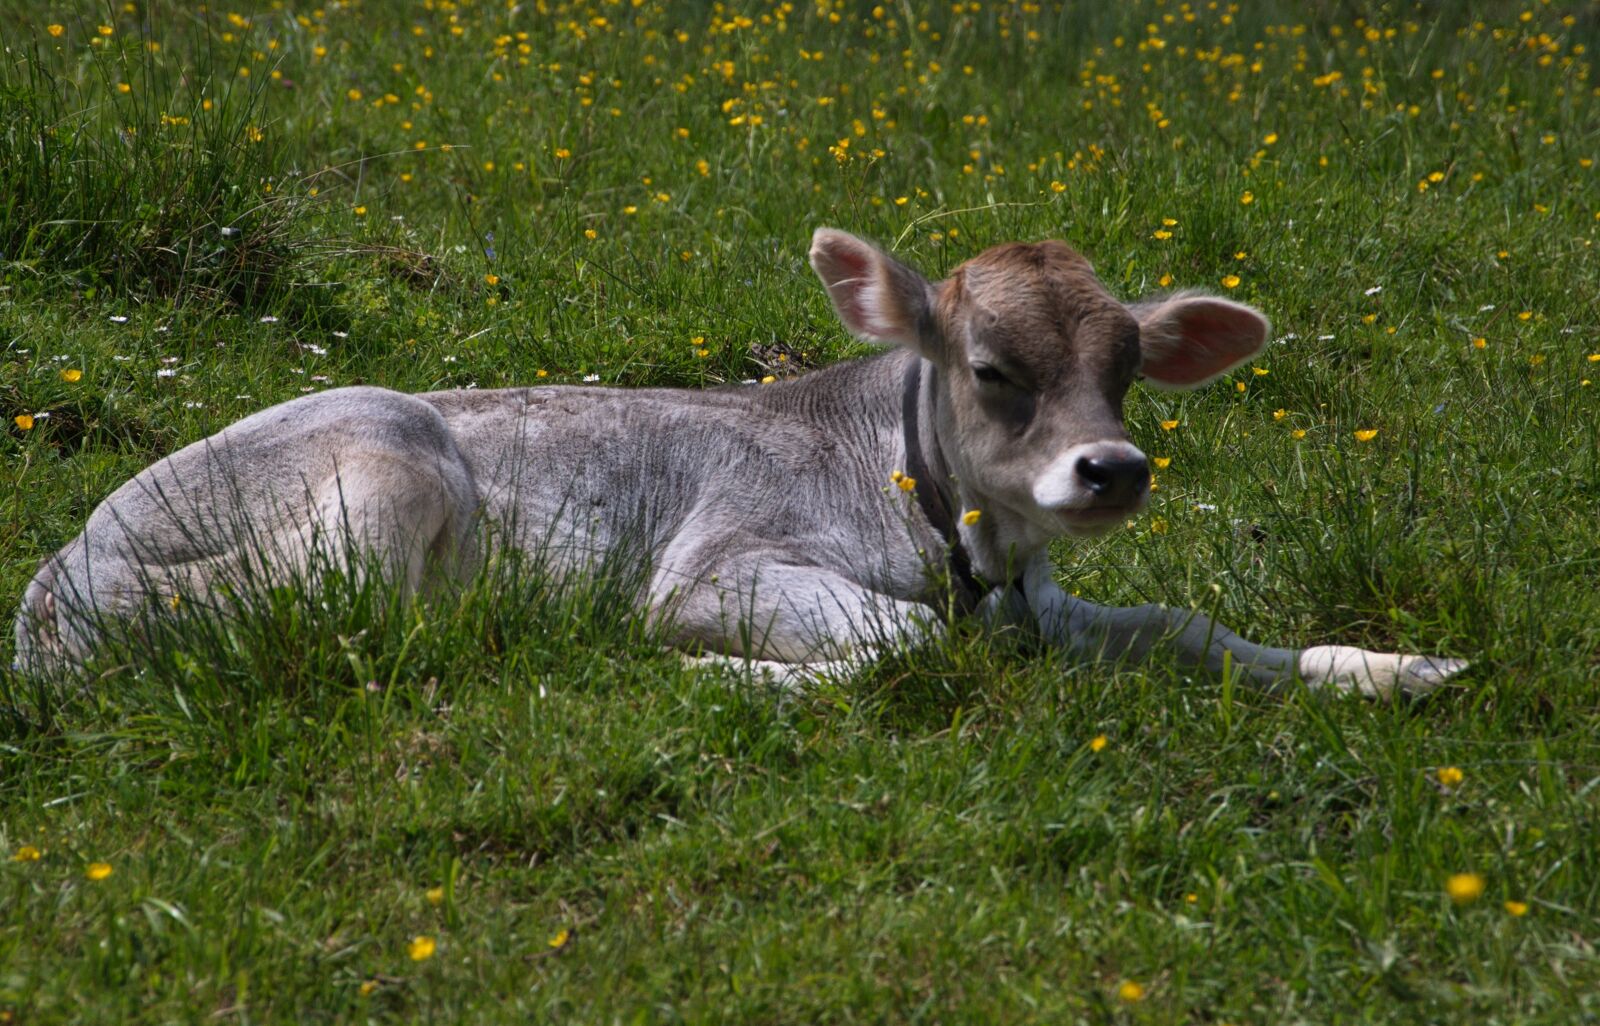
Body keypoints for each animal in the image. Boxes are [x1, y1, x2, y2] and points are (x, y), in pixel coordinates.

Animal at [13, 229, 1467, 695]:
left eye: (1123, 370)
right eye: (991, 367)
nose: (1111, 470)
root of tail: (54, 570)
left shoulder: (1044, 606)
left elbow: (1186, 624)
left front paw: (1387, 667)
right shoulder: (716, 567)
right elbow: (892, 644)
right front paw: (726, 677)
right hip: (384, 471)